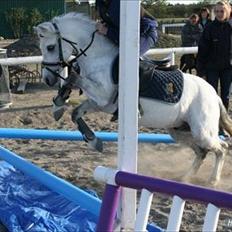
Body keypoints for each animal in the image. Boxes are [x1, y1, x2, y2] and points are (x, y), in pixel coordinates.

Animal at [35, 13, 232, 186]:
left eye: (50, 47)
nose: (47, 79)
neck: (98, 57)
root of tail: (214, 94)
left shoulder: (102, 94)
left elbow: (73, 77)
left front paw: (60, 105)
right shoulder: (100, 103)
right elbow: (75, 113)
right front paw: (92, 139)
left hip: (202, 131)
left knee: (221, 148)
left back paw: (213, 180)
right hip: (179, 130)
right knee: (201, 152)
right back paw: (185, 178)